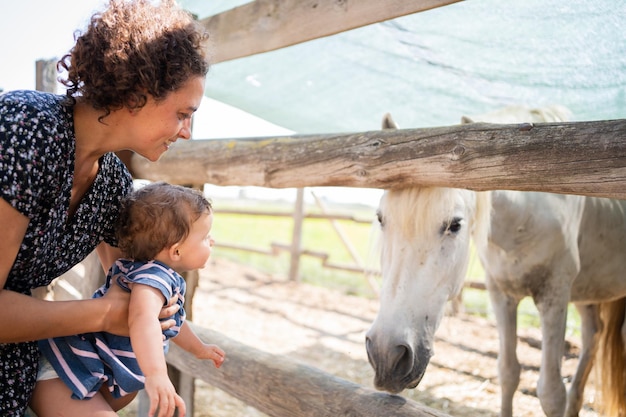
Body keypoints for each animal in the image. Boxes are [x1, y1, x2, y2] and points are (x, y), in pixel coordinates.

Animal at [366, 107, 624, 416]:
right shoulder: (501, 296)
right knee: (593, 337)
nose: (386, 355)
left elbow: (551, 392)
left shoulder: (554, 297)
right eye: (381, 218)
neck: (525, 221)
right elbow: (508, 372)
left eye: (455, 224)